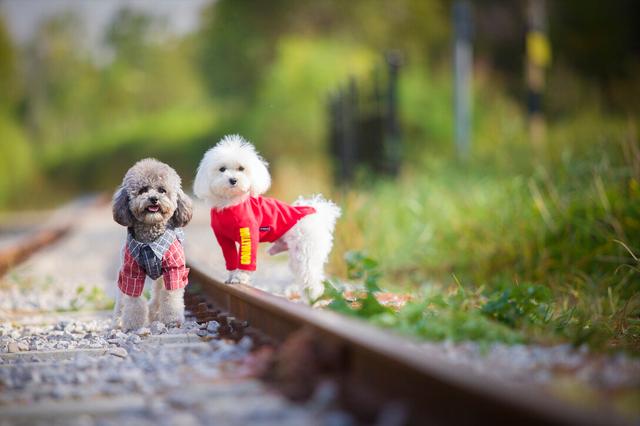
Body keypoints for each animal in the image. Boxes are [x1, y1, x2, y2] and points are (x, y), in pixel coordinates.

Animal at [194, 135, 340, 302]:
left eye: (241, 168)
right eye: (222, 169)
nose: (233, 180)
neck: (230, 204)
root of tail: (316, 212)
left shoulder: (248, 234)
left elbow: (246, 259)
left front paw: (239, 278)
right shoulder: (224, 239)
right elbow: (231, 258)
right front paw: (231, 276)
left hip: (305, 252)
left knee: (311, 278)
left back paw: (313, 300)